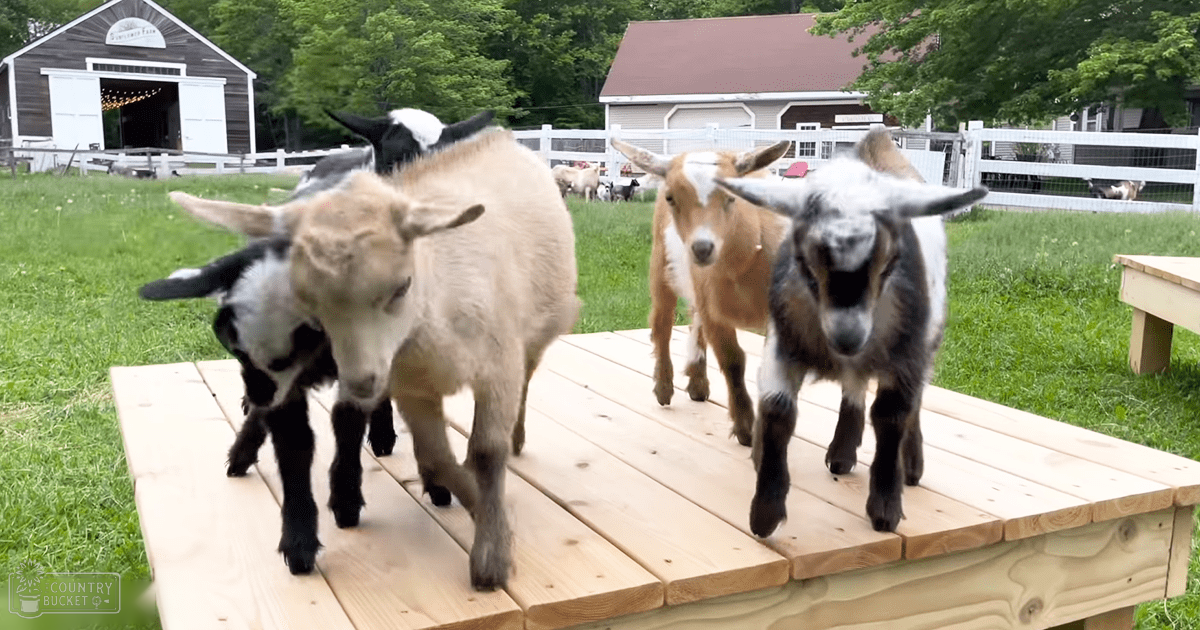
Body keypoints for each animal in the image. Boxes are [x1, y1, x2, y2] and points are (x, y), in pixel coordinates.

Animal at [165, 128, 580, 591]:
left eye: (402, 286)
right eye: (310, 303)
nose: (360, 382)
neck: (435, 314)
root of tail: (500, 136)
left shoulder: (498, 367)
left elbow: (487, 453)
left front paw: (492, 556)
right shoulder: (413, 388)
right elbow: (437, 457)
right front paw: (481, 512)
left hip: (540, 325)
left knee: (528, 378)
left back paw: (518, 436)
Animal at [612, 138, 791, 446]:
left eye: (732, 197)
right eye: (671, 198)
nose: (702, 248)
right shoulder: (715, 313)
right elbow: (733, 362)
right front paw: (745, 428)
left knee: (693, 319)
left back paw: (697, 382)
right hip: (661, 265)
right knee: (662, 323)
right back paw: (664, 386)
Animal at [714, 129, 987, 535]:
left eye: (890, 263)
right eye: (803, 261)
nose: (848, 337)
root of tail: (880, 142)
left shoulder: (905, 355)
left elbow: (891, 415)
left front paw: (885, 509)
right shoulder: (783, 343)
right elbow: (778, 409)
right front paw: (765, 513)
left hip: (927, 337)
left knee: (913, 400)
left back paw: (912, 465)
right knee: (854, 388)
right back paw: (841, 452)